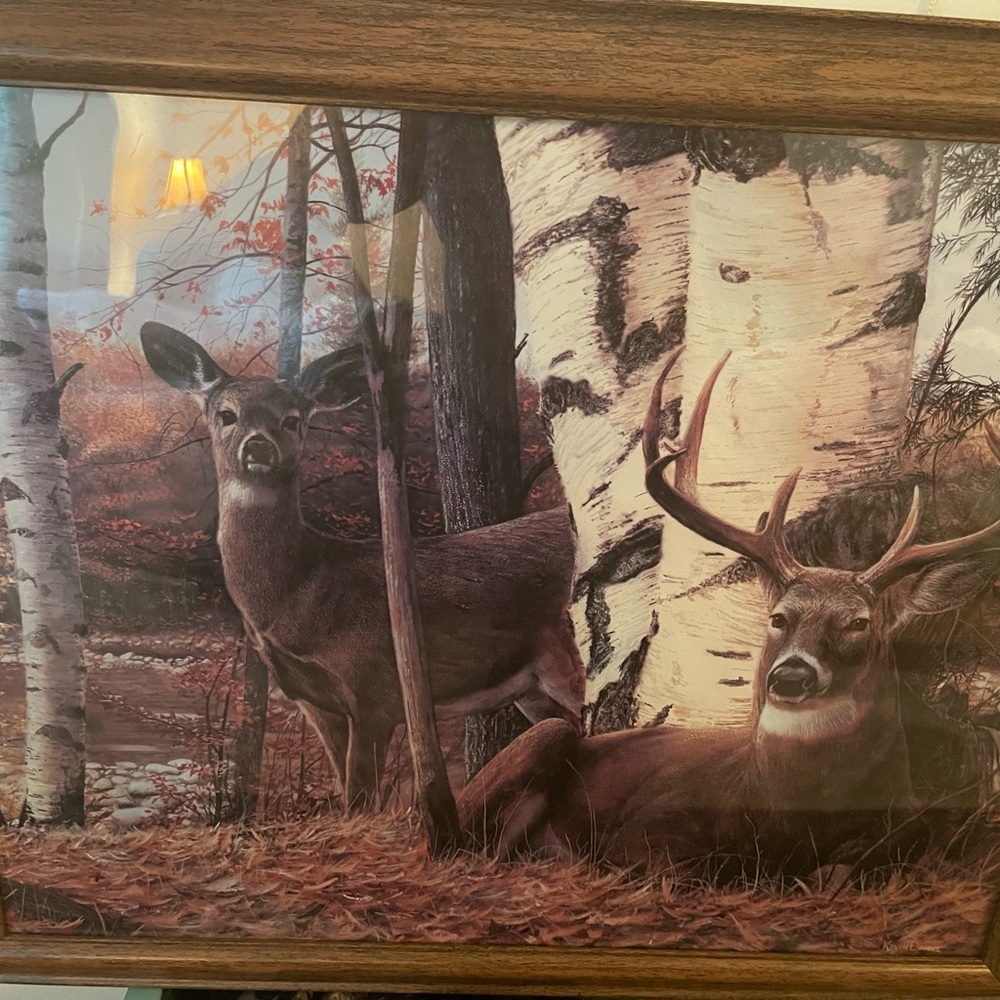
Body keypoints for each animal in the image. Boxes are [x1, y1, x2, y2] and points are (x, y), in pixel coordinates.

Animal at [139, 322, 584, 809]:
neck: (301, 596)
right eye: (226, 414)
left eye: (292, 418)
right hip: (533, 687)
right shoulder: (315, 702)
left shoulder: (375, 686)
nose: (258, 445)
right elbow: (344, 790)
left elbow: (360, 798)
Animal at [458, 345, 1000, 878]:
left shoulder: (909, 827)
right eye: (778, 617)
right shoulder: (647, 828)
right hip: (537, 745)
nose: (790, 676)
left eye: (858, 623)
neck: (790, 809)